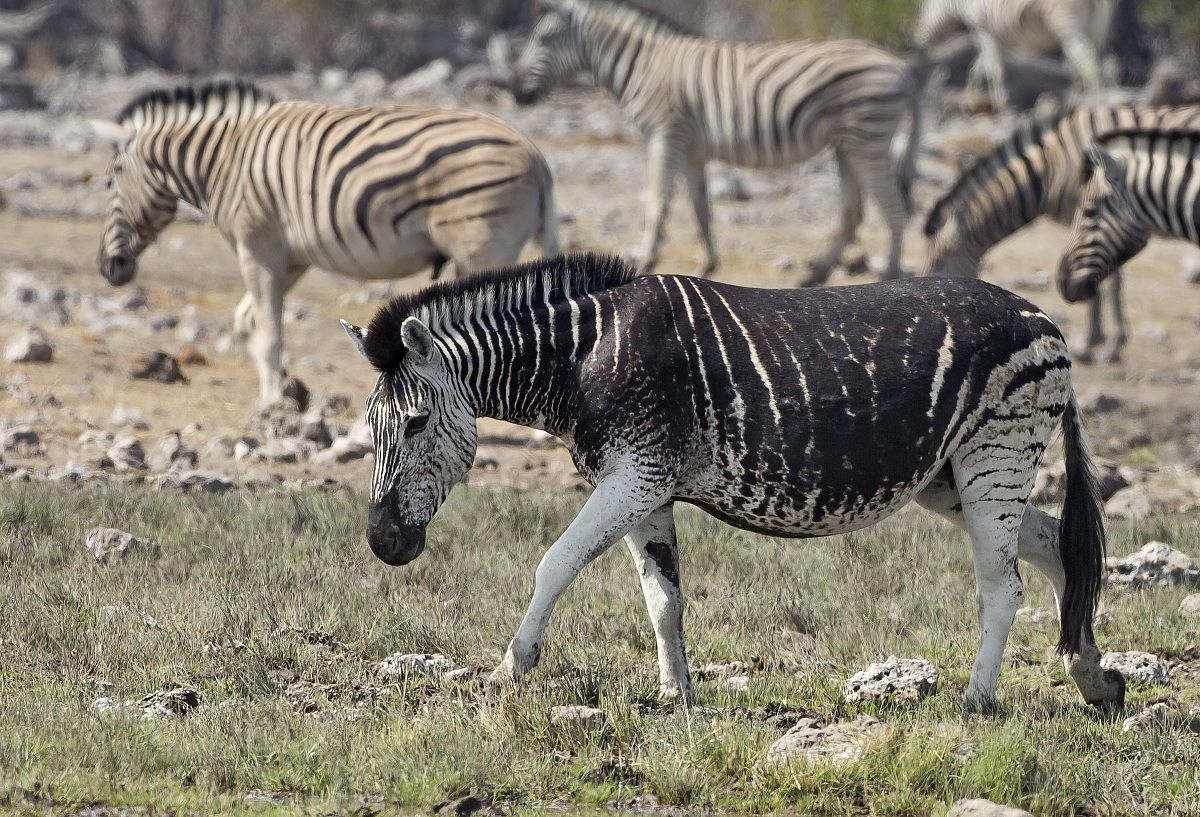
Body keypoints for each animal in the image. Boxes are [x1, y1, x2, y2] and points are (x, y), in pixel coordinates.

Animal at [90, 80, 558, 401]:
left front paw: (273, 405)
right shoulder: (291, 258)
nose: (108, 270)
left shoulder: (257, 247)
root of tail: (535, 155)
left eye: (110, 181)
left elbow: (269, 330)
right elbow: (249, 321)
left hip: (482, 248)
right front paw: (283, 392)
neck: (225, 158)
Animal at [340, 252, 1125, 713]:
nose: (382, 544)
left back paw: (976, 702)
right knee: (1059, 547)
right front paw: (675, 694)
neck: (583, 359)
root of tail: (1045, 319)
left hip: (997, 454)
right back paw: (1094, 678)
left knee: (1004, 587)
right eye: (369, 427)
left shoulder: (635, 473)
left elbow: (553, 563)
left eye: (414, 424)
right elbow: (663, 600)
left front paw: (511, 669)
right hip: (952, 476)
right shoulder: (645, 485)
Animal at [511, 0, 922, 284]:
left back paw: (889, 276)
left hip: (868, 139)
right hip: (845, 145)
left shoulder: (665, 134)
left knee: (893, 211)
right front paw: (708, 263)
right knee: (853, 213)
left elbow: (658, 200)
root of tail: (902, 68)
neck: (644, 66)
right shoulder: (692, 149)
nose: (515, 93)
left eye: (544, 38)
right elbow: (700, 207)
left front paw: (645, 259)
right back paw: (815, 275)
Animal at [913, 0, 1112, 111]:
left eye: (923, 8)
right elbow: (979, 67)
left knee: (1086, 61)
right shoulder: (994, 36)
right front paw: (971, 97)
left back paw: (1096, 101)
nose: (916, 43)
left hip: (1066, 24)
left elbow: (992, 69)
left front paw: (1002, 104)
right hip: (1088, 28)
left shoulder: (983, 31)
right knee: (1082, 62)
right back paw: (1077, 101)